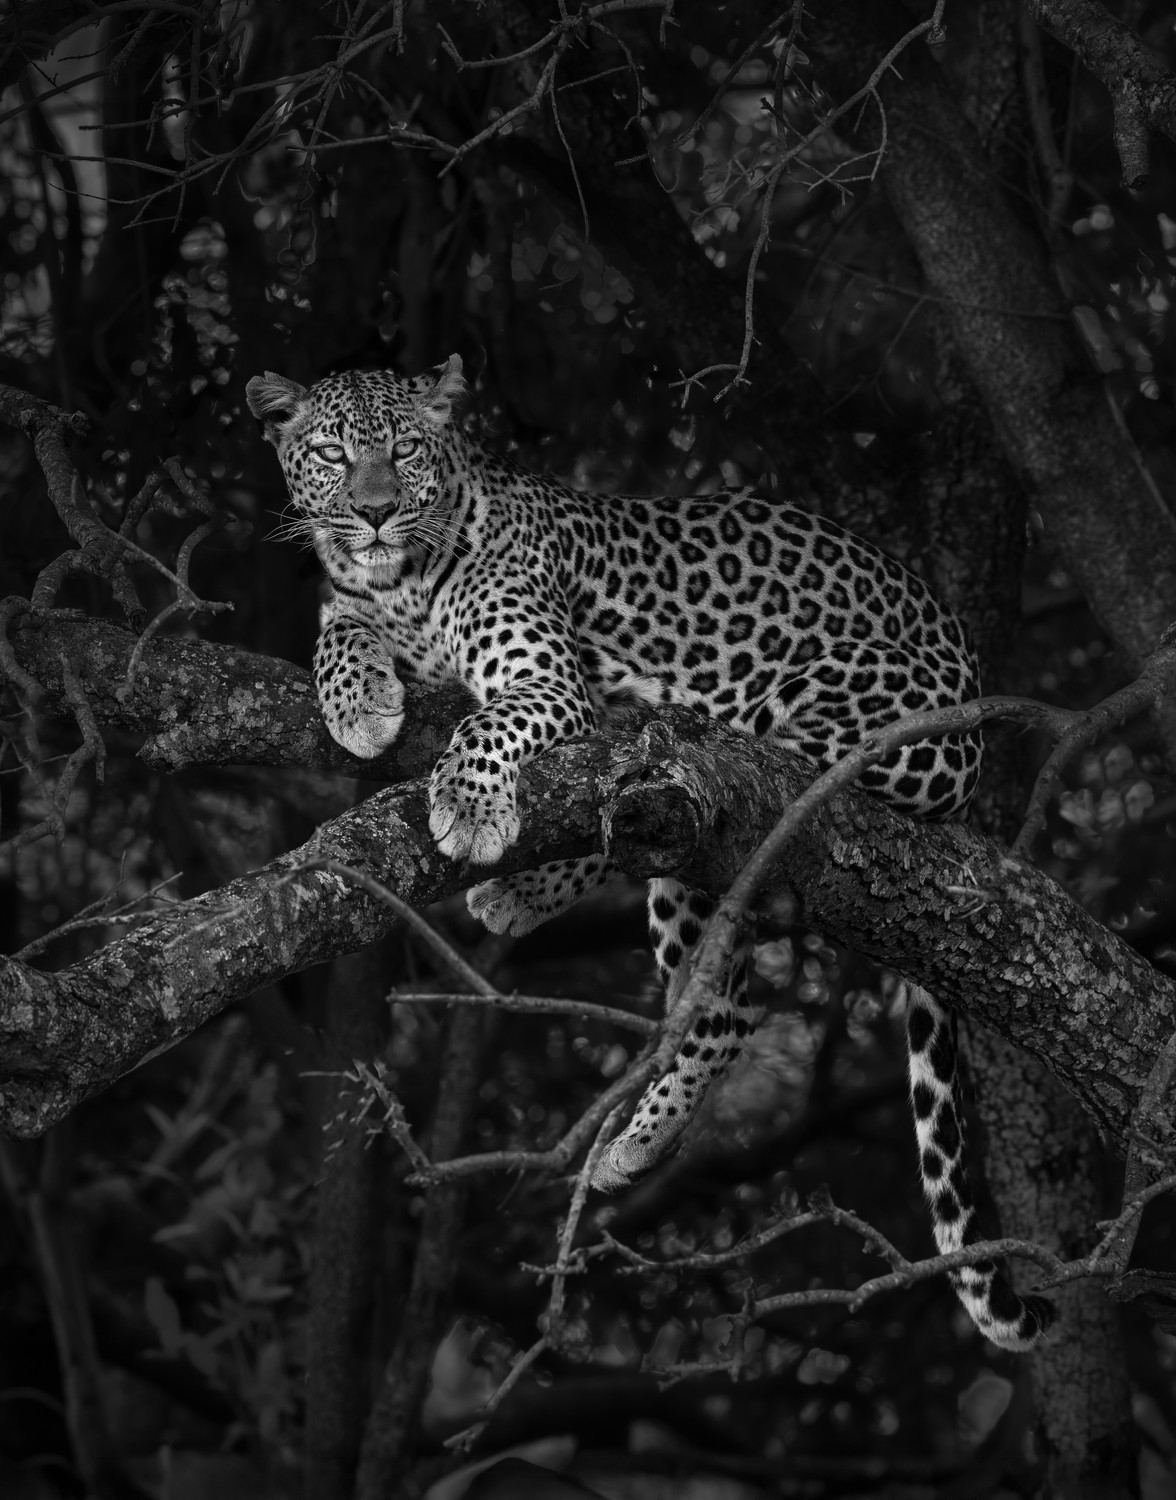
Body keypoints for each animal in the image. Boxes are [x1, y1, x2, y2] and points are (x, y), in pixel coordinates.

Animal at [247, 355, 1054, 1351]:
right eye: (330, 452)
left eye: (401, 450)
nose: (372, 511)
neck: (402, 582)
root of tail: (974, 696)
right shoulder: (360, 607)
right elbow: (335, 630)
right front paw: (359, 700)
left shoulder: (548, 678)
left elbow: (482, 725)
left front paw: (468, 805)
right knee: (712, 968)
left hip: (780, 724)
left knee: (681, 841)